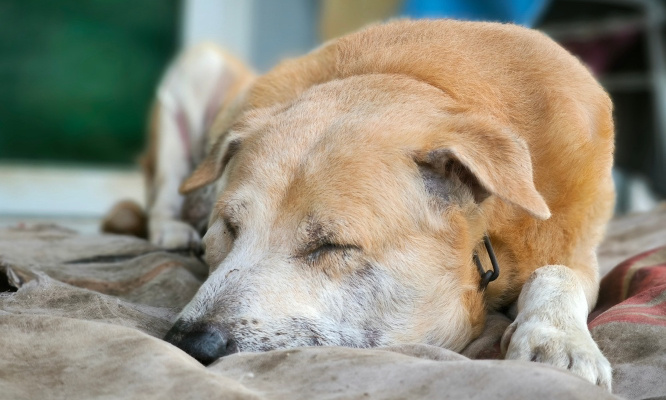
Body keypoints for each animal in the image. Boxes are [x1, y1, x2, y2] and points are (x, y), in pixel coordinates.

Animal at [120, 19, 616, 390]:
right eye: (228, 228)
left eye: (332, 246)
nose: (189, 345)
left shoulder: (581, 253)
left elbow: (558, 273)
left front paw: (559, 341)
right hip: (199, 66)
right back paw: (173, 230)